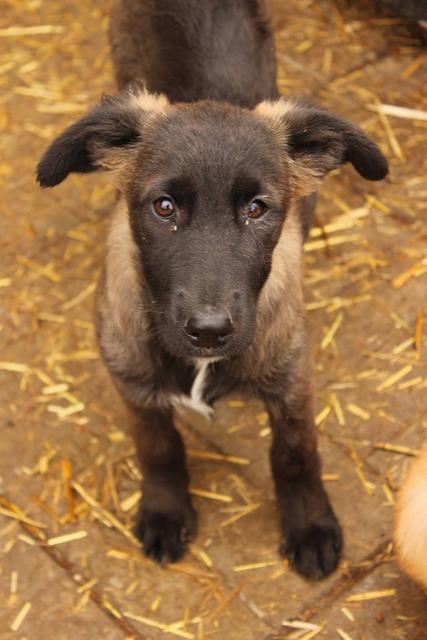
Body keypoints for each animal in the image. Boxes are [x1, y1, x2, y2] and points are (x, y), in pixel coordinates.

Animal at [37, 0, 388, 580]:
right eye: (164, 207)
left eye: (257, 209)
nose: (208, 331)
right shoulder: (131, 380)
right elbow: (158, 447)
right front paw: (165, 510)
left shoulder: (292, 376)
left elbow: (297, 453)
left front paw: (310, 525)